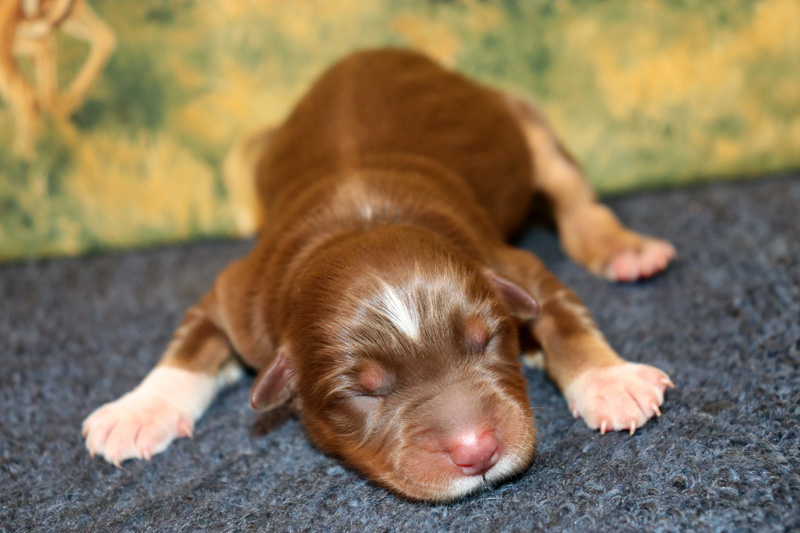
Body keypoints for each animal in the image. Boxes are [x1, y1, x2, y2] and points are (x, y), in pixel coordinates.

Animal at [82, 49, 676, 502]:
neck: (360, 222)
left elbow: (562, 314)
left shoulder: (510, 264)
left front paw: (610, 380)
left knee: (574, 196)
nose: (476, 451)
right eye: (364, 394)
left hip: (523, 120)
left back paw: (626, 251)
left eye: (486, 341)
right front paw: (138, 411)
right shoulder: (238, 295)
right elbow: (190, 346)